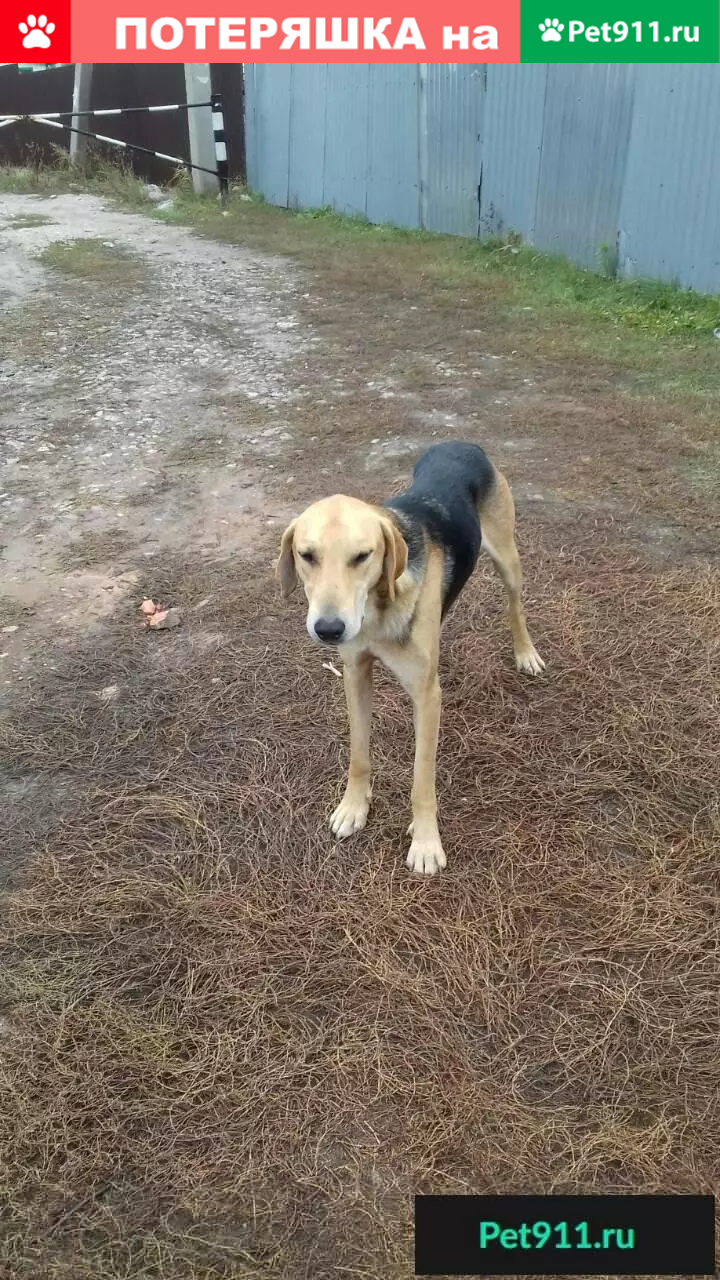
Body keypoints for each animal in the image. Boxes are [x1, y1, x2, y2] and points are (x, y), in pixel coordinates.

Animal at [275, 445, 543, 875]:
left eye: (362, 557)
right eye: (307, 556)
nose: (329, 629)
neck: (378, 612)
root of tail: (462, 443)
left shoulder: (427, 698)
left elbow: (422, 781)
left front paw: (426, 842)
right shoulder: (355, 674)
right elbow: (359, 754)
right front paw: (354, 807)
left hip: (507, 558)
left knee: (515, 605)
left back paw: (526, 652)